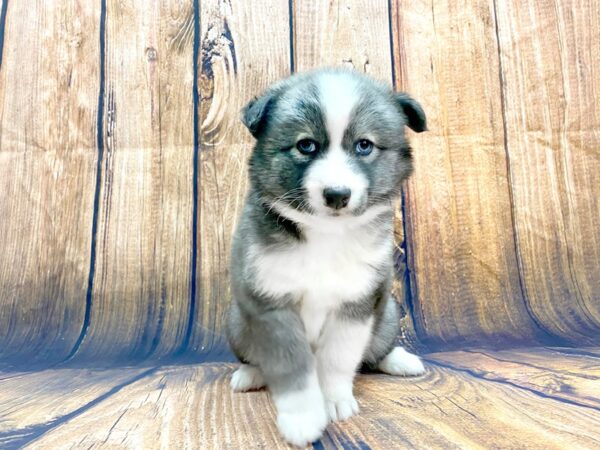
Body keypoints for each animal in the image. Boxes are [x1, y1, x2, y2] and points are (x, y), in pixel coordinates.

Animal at [225, 67, 426, 446]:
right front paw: (302, 417)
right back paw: (250, 374)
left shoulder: (356, 302)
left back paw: (401, 360)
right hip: (237, 322)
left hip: (388, 314)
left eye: (364, 145)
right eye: (306, 145)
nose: (336, 195)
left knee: (376, 352)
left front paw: (333, 401)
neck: (325, 235)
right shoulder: (272, 302)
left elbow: (337, 358)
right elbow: (291, 365)